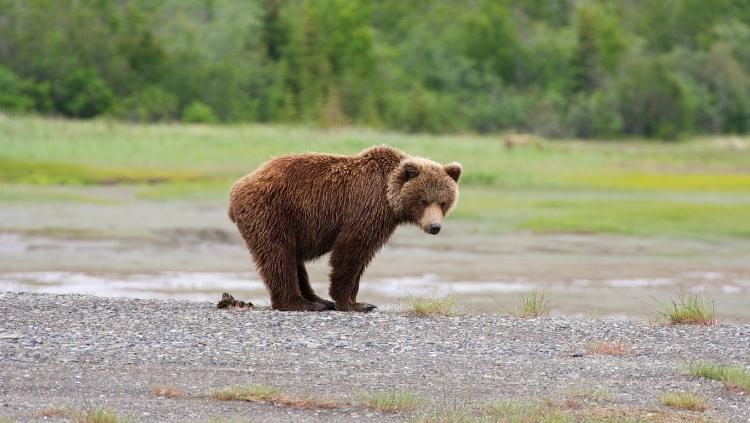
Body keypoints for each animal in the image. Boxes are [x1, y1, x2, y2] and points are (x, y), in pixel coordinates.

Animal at [228, 145, 461, 312]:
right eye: (423, 201)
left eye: (443, 202)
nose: (434, 226)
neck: (388, 197)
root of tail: (237, 188)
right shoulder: (366, 208)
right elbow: (350, 250)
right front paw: (351, 303)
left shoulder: (381, 221)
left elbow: (363, 256)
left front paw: (360, 301)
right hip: (273, 212)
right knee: (278, 255)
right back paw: (300, 303)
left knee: (292, 258)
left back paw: (317, 299)